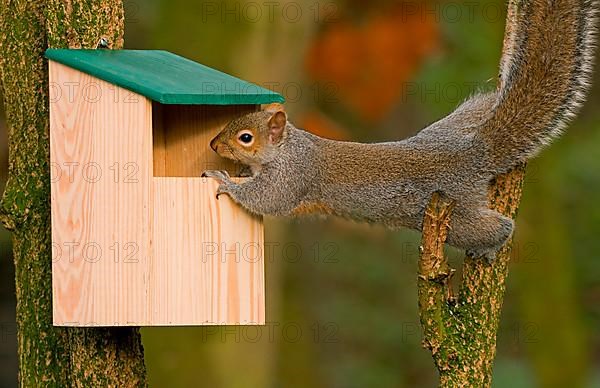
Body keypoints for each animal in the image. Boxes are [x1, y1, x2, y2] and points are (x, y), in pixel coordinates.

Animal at [204, 0, 596, 260]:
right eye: (229, 125)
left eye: (245, 137)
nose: (213, 144)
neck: (287, 148)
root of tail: (472, 152)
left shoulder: (293, 175)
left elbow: (269, 199)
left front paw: (225, 181)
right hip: (456, 122)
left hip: (456, 216)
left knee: (491, 228)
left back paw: (494, 242)